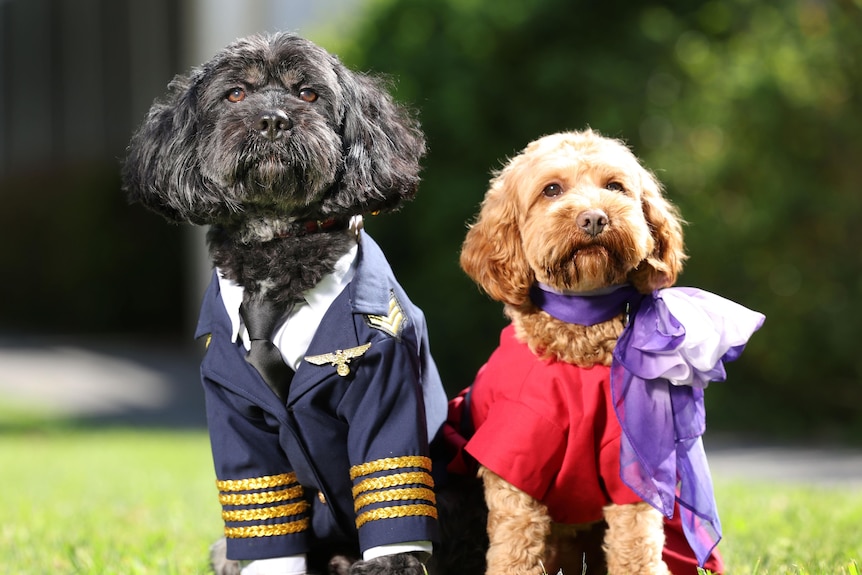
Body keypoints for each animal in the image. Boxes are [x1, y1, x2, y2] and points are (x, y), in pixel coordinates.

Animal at [125, 32, 456, 575]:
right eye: (235, 94)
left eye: (308, 94)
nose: (273, 120)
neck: (276, 253)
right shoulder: (235, 412)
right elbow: (265, 508)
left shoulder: (386, 389)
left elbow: (390, 485)